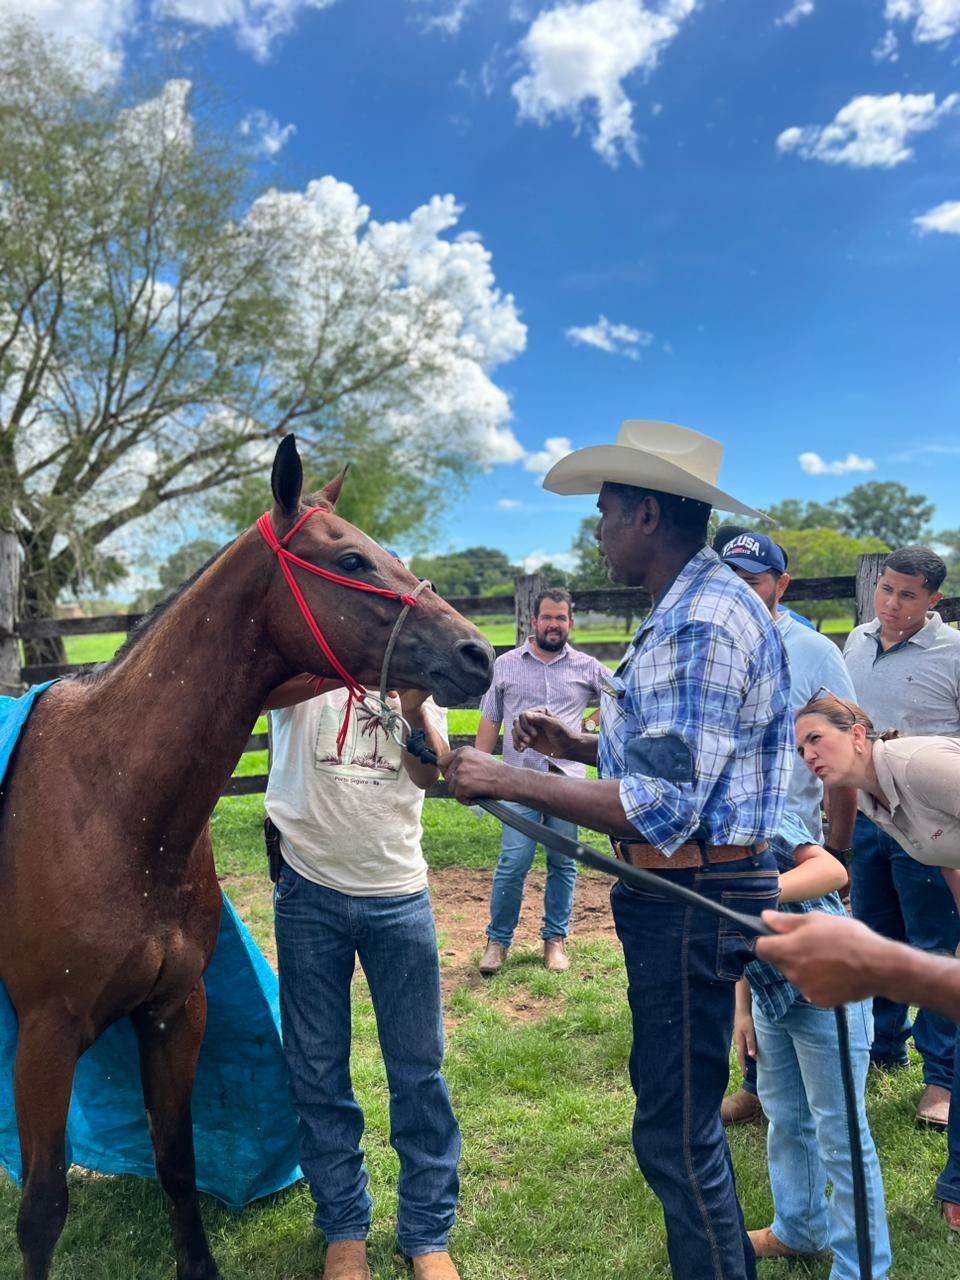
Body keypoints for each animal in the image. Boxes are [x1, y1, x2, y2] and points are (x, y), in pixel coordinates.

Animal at [0, 434, 495, 1280]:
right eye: (352, 560)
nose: (479, 654)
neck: (109, 802)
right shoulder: (45, 1036)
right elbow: (42, 1209)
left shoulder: (174, 1011)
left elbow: (177, 1160)